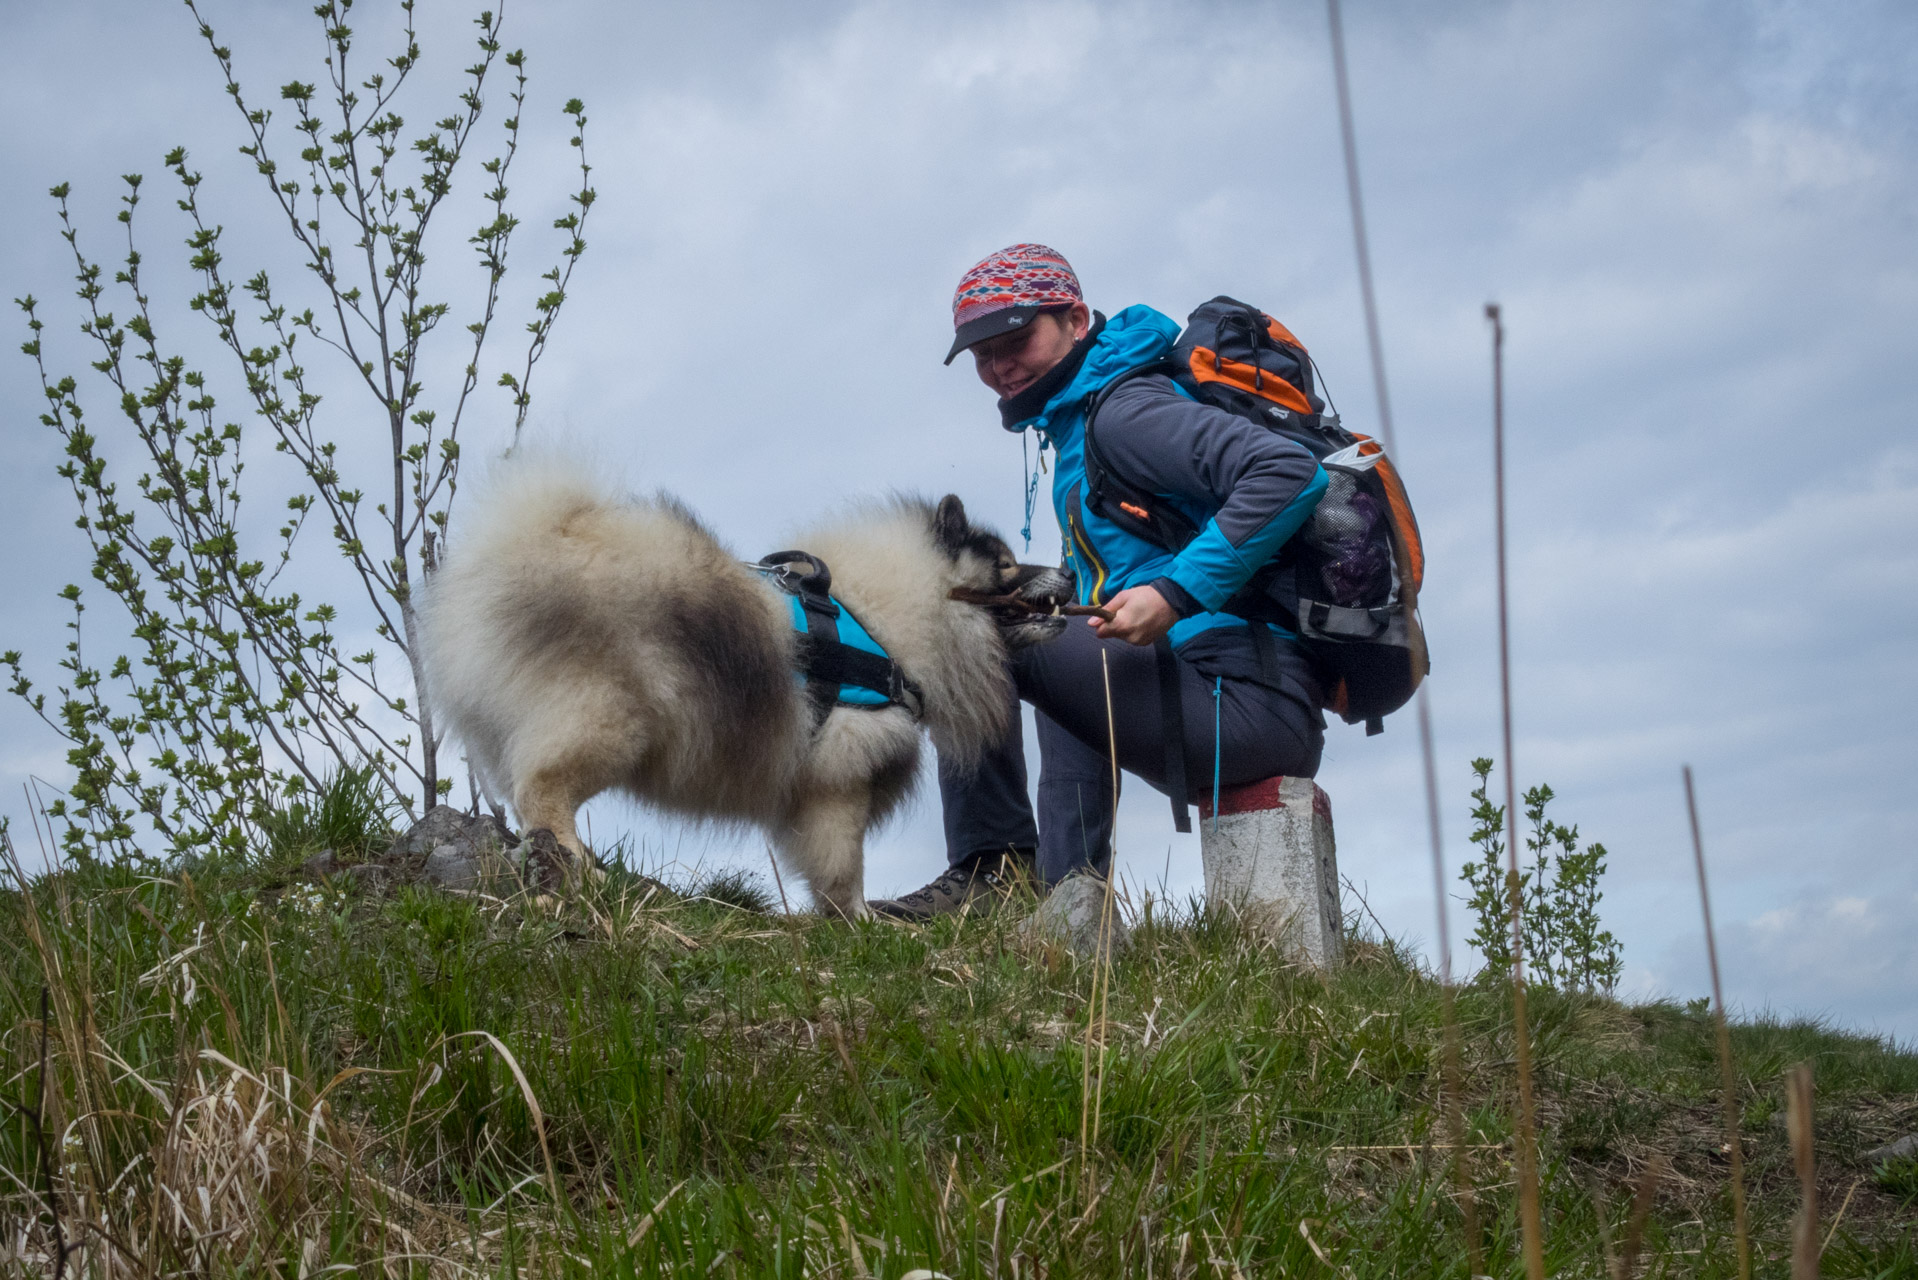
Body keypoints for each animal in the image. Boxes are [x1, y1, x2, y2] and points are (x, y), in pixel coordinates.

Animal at [420, 460, 1074, 921]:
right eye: (1007, 565)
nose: (1070, 571)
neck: (884, 619)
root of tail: (519, 547)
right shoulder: (840, 781)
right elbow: (845, 865)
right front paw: (861, 921)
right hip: (607, 723)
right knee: (542, 791)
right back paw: (582, 869)